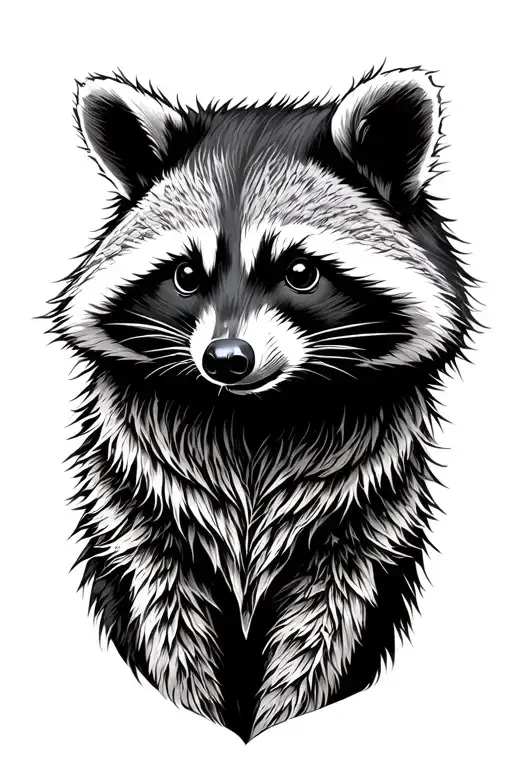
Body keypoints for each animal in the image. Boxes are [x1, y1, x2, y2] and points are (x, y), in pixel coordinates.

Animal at [47, 65, 476, 741]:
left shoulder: (362, 514)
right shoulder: (140, 506)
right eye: (186, 276)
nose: (226, 359)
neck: (256, 415)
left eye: (300, 272)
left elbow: (327, 624)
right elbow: (163, 614)